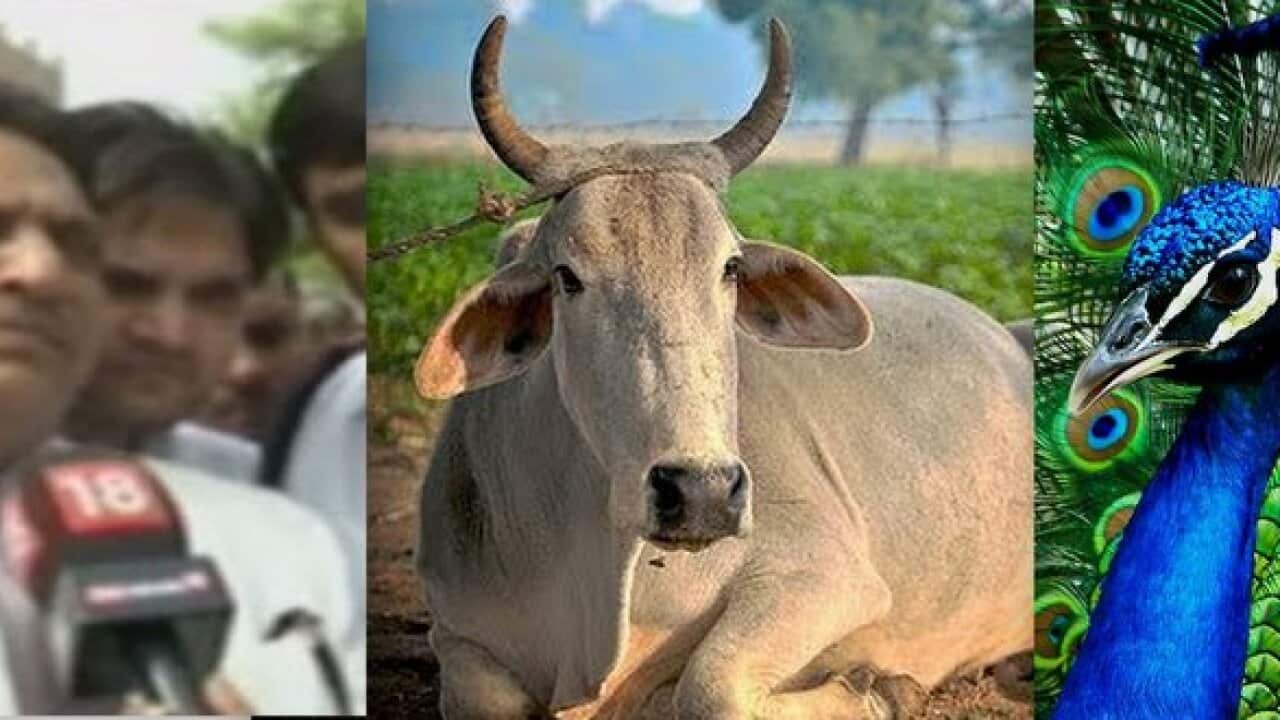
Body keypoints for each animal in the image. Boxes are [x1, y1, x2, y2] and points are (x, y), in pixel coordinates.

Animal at [414, 16, 1031, 720]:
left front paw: (880, 689)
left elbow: (712, 687)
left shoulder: (823, 574)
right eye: (567, 277)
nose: (702, 492)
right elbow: (490, 701)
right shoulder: (457, 630)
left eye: (730, 268)